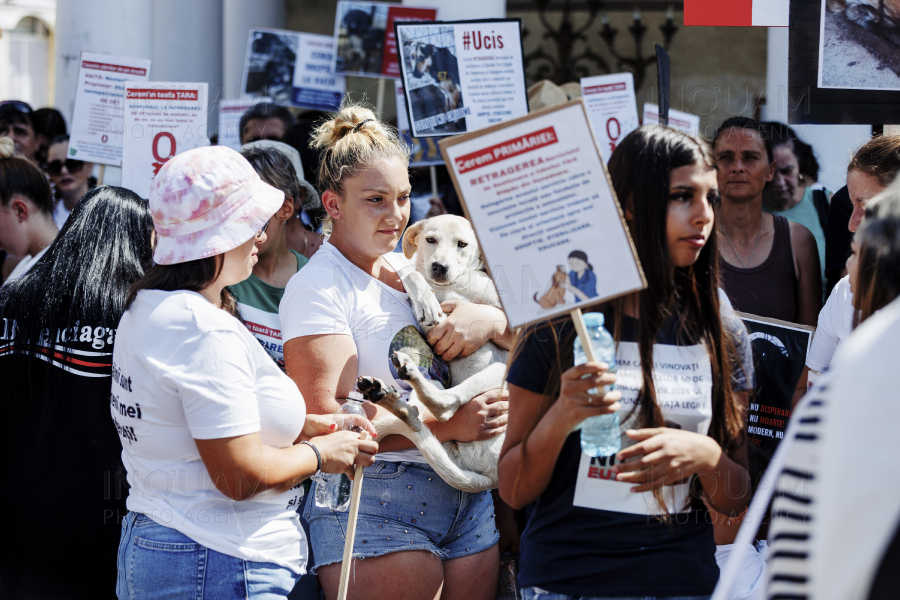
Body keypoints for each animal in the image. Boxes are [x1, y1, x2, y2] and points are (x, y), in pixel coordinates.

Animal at [356, 216, 506, 492]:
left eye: (462, 244)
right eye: (430, 240)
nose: (438, 267)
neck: (454, 285)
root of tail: (491, 479)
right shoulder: (429, 327)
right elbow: (412, 273)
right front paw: (426, 301)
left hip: (500, 372)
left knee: (447, 404)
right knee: (421, 416)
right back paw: (390, 400)